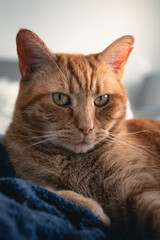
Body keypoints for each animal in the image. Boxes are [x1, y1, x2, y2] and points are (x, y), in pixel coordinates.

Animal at [3, 29, 160, 239]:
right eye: (60, 98)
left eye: (102, 99)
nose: (86, 127)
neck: (78, 164)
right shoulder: (30, 179)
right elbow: (57, 193)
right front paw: (96, 210)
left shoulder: (142, 189)